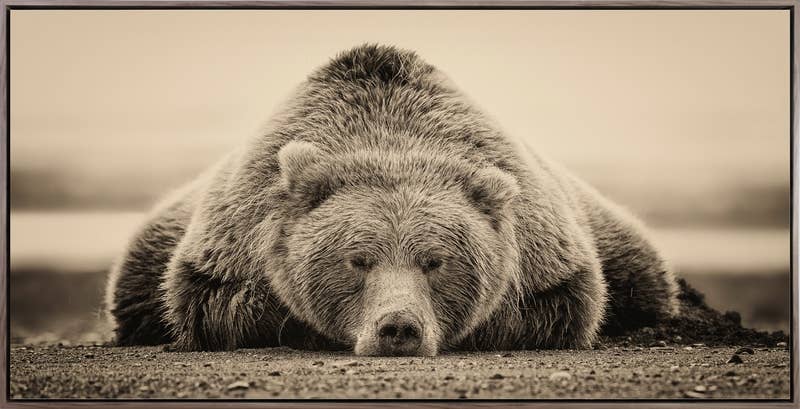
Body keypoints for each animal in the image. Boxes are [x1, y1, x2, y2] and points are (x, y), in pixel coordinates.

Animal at [105, 44, 679, 355]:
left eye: (435, 261)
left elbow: (561, 306)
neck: (390, 137)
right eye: (357, 259)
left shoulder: (548, 254)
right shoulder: (231, 242)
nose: (398, 327)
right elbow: (213, 303)